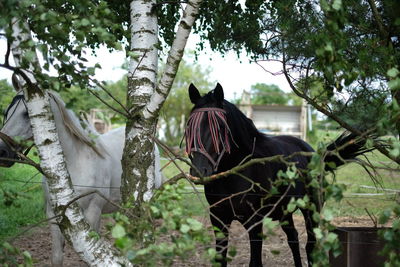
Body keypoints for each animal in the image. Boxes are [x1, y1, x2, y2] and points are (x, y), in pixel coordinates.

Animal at [0, 91, 162, 266]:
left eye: (26, 113)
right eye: (6, 113)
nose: (2, 151)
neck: (75, 162)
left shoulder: (92, 211)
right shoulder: (54, 215)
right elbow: (57, 257)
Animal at [186, 84, 370, 267]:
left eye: (219, 127)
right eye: (189, 126)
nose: (198, 171)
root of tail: (314, 153)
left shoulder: (254, 222)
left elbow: (255, 261)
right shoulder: (219, 219)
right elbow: (220, 259)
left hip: (312, 208)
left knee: (310, 246)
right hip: (284, 211)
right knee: (293, 238)